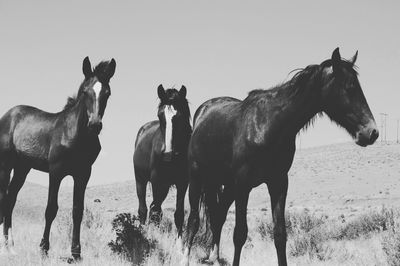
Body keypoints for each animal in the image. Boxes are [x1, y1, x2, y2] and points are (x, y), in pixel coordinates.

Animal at [0, 56, 115, 262]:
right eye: (85, 91)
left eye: (107, 93)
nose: (95, 125)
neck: (74, 134)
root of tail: (8, 115)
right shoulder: (56, 172)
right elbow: (51, 209)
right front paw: (44, 248)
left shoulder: (83, 174)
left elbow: (78, 211)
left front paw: (76, 253)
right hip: (6, 166)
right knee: (3, 198)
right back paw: (4, 247)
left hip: (22, 168)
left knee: (10, 200)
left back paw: (11, 247)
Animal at [133, 84, 192, 239]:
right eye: (160, 115)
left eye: (179, 117)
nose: (167, 153)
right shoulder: (156, 181)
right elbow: (155, 211)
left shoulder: (182, 183)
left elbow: (178, 214)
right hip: (140, 180)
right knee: (143, 209)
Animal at [183, 48, 380, 266]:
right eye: (349, 87)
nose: (372, 132)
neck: (267, 125)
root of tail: (203, 112)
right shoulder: (243, 185)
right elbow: (239, 234)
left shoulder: (278, 183)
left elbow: (279, 234)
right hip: (197, 179)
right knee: (193, 221)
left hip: (225, 185)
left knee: (217, 217)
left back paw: (214, 258)